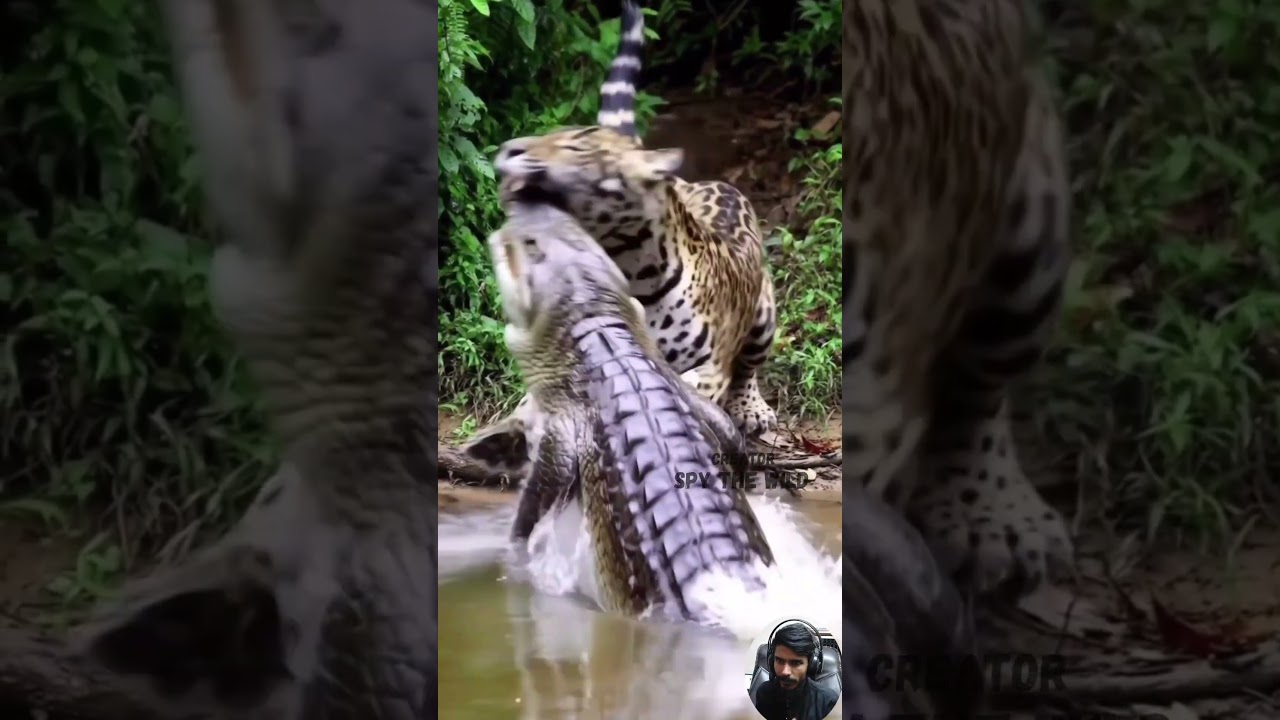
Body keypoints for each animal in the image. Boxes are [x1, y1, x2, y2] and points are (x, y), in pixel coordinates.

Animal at [440, 0, 779, 485]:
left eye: (578, 146)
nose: (508, 149)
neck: (632, 269)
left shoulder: (707, 367)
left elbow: (691, 385)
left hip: (765, 314)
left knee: (749, 369)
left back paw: (753, 409)